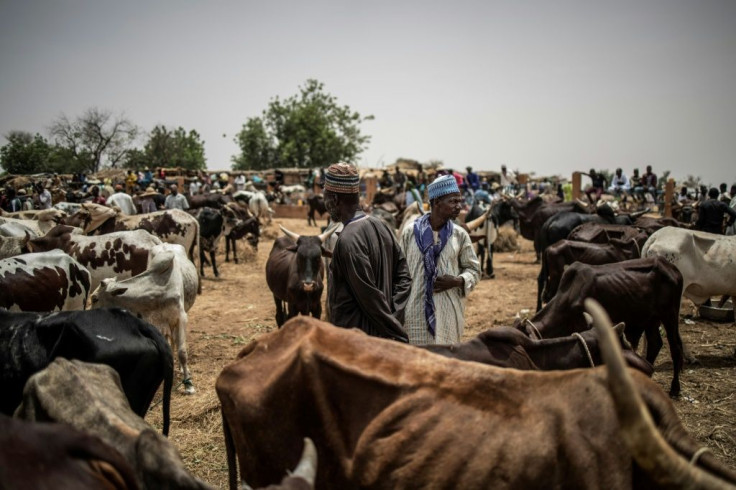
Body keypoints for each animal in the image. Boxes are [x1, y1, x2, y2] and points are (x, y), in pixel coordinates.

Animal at [520, 258, 680, 396]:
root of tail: (671, 267)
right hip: (650, 320)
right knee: (655, 343)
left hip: (670, 315)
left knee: (675, 346)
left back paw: (675, 388)